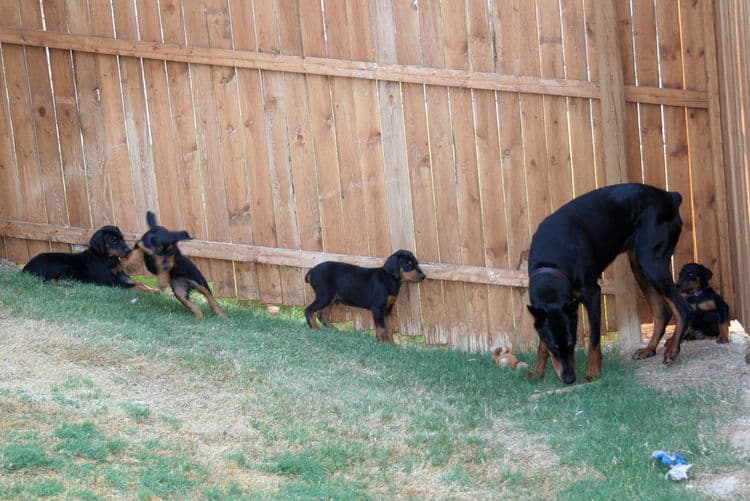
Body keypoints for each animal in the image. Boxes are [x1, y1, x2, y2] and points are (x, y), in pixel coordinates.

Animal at [22, 224, 154, 292]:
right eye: (113, 240)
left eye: (122, 238)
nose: (128, 250)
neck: (107, 258)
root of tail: (25, 268)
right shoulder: (110, 281)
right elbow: (133, 285)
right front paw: (152, 292)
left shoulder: (121, 275)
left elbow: (139, 282)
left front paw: (152, 289)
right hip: (60, 264)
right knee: (47, 280)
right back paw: (66, 285)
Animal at [524, 184, 692, 382]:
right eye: (554, 347)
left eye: (572, 343)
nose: (570, 379)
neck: (551, 263)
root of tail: (669, 197)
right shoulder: (545, 312)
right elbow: (541, 340)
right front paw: (537, 371)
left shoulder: (593, 294)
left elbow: (594, 338)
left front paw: (593, 372)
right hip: (638, 264)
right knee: (662, 311)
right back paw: (649, 349)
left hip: (651, 262)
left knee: (683, 308)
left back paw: (673, 349)